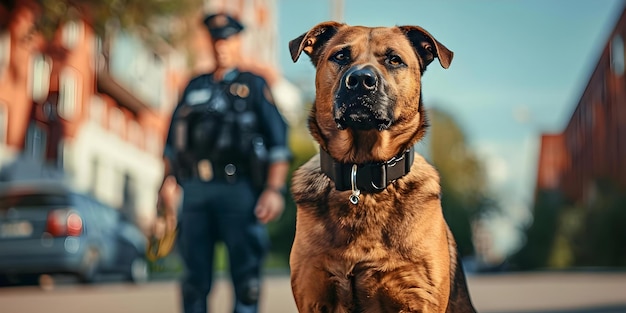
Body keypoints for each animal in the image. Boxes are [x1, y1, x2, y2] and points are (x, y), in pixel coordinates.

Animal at [290, 20, 476, 310]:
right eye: (340, 56)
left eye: (394, 60)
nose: (360, 81)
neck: (362, 175)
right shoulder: (314, 296)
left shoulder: (417, 296)